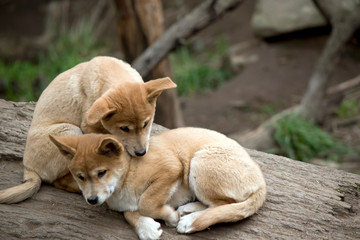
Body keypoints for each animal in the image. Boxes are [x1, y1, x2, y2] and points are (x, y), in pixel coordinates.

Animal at [0, 56, 176, 204]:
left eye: (146, 123)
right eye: (124, 128)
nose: (141, 153)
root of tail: (28, 167)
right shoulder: (88, 126)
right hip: (70, 130)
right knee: (60, 180)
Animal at [50, 126, 266, 239]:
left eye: (101, 173)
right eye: (80, 177)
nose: (92, 200)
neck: (128, 172)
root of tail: (261, 182)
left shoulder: (171, 169)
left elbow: (146, 202)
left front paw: (169, 216)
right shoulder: (123, 204)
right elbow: (131, 212)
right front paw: (146, 228)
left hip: (199, 164)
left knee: (225, 205)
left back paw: (190, 218)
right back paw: (189, 209)